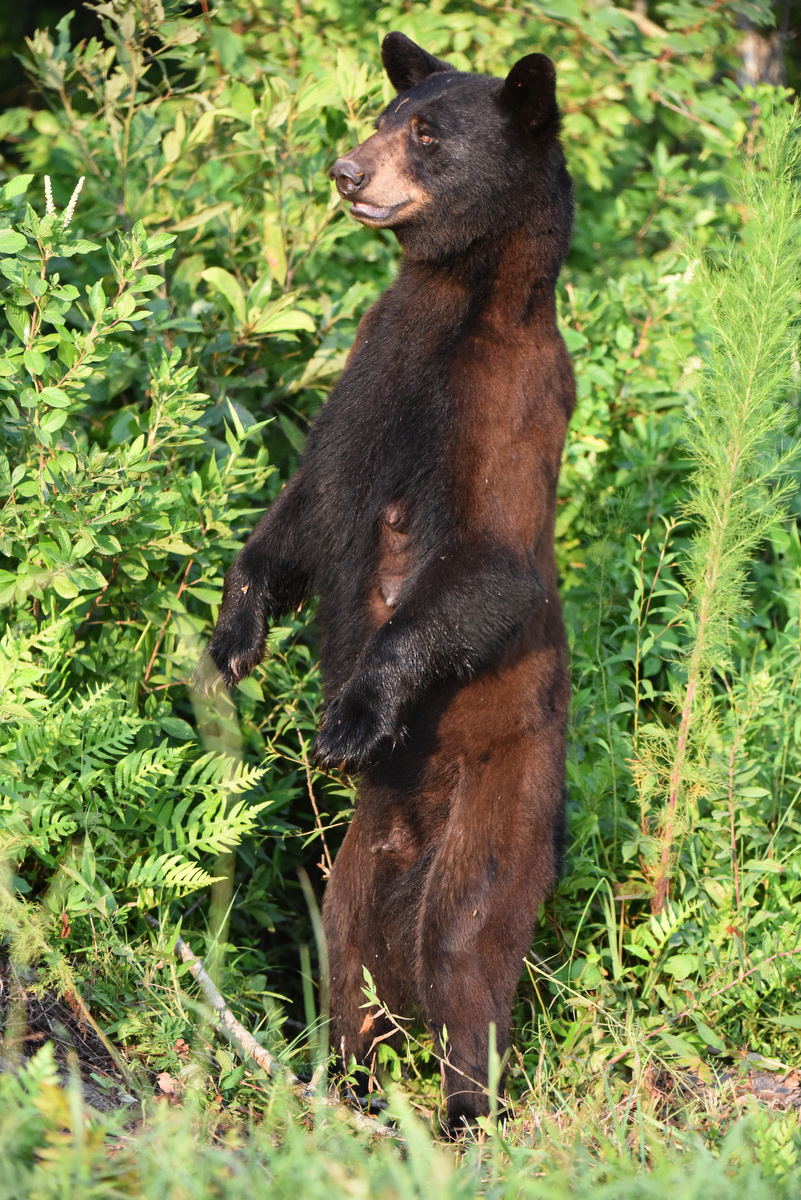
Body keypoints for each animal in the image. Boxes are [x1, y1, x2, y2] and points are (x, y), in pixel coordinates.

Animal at [203, 30, 573, 1132]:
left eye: (429, 133)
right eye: (384, 113)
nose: (345, 171)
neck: (458, 302)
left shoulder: (507, 405)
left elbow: (491, 569)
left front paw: (356, 710)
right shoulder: (367, 378)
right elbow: (305, 506)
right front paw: (236, 632)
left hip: (501, 801)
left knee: (463, 950)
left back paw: (461, 1111)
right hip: (366, 852)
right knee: (347, 944)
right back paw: (345, 1081)